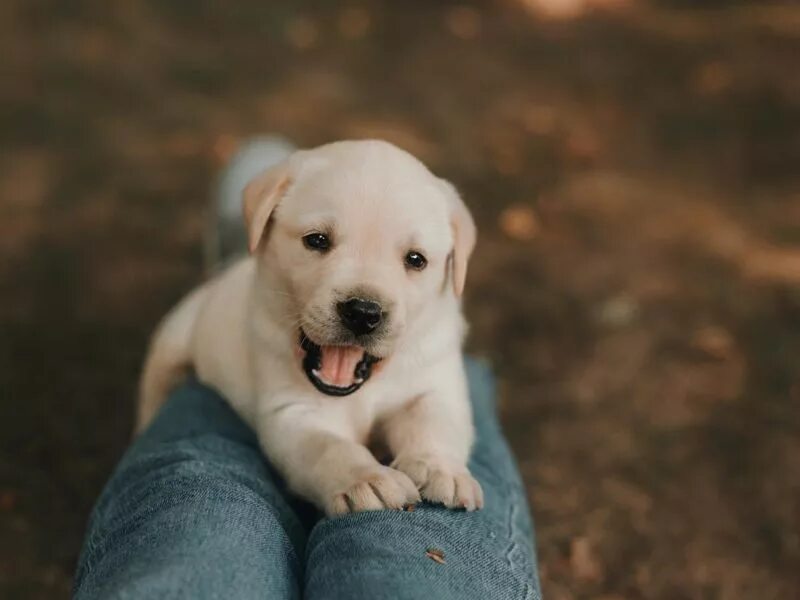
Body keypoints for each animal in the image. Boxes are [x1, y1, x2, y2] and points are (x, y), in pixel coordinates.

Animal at [138, 141, 482, 516]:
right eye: (316, 240)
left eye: (416, 260)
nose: (362, 312)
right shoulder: (292, 414)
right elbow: (329, 447)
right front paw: (365, 479)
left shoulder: (436, 382)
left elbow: (434, 421)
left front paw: (439, 468)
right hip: (172, 343)